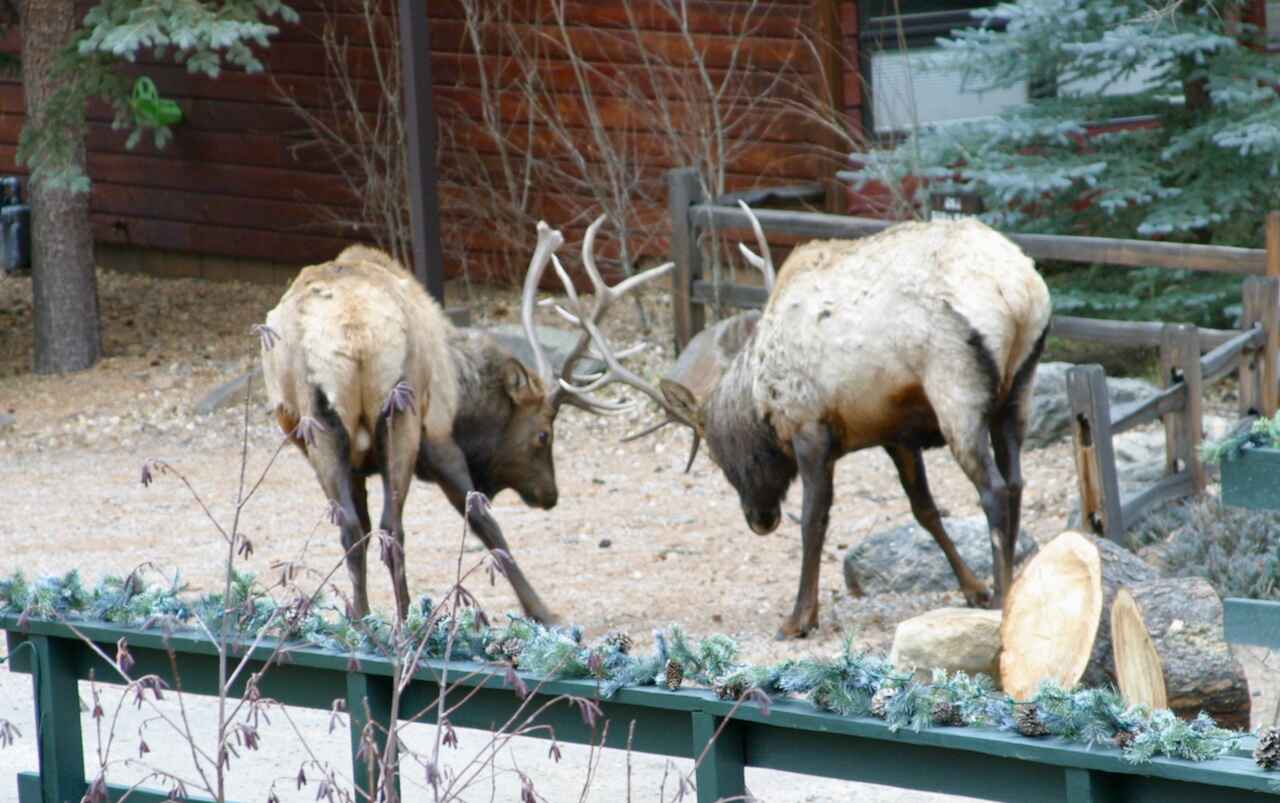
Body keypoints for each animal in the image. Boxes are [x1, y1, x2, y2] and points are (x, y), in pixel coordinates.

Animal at [260, 218, 673, 622]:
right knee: (393, 527)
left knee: (352, 527)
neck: (462, 397)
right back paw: (406, 622)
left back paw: (363, 623)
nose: (551, 495)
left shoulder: (360, 465)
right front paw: (543, 612)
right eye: (543, 434)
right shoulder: (440, 435)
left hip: (322, 424)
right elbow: (483, 521)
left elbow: (361, 525)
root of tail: (354, 332)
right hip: (401, 414)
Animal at [608, 206, 1052, 639]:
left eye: (717, 457)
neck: (759, 395)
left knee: (994, 489)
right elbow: (924, 510)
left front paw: (799, 618)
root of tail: (1019, 294)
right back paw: (1010, 587)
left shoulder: (809, 429)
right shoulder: (896, 434)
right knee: (1015, 482)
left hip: (956, 388)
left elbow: (813, 520)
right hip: (1019, 389)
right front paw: (972, 588)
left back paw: (1000, 598)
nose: (759, 520)